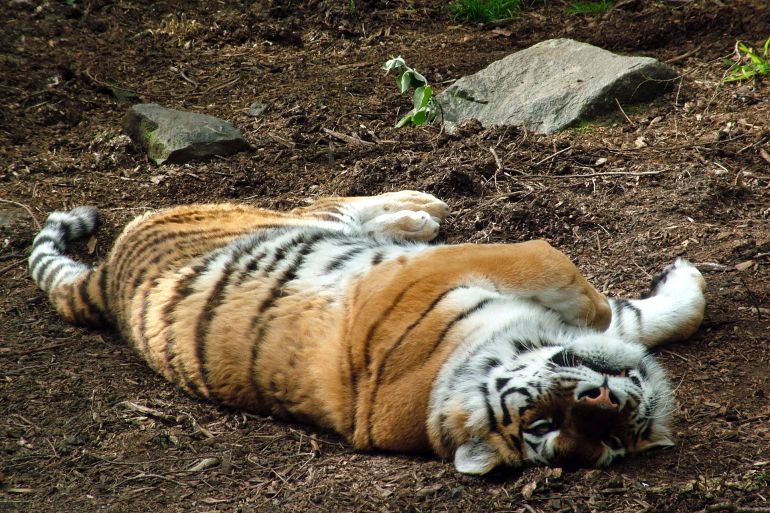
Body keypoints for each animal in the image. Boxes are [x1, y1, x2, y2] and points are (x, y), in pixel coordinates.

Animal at [28, 190, 707, 474]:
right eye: (544, 425)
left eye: (612, 439)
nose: (604, 399)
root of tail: (105, 278)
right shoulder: (449, 270)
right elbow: (571, 279)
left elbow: (634, 318)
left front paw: (680, 288)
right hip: (286, 220)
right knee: (335, 203)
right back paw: (422, 208)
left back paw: (418, 213)